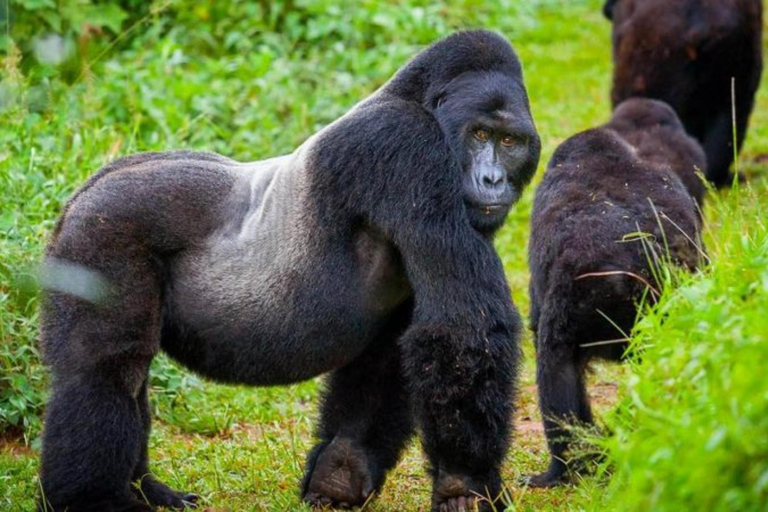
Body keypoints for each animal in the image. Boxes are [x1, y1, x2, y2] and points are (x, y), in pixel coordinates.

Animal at [37, 31, 540, 512]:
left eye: (509, 142)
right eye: (479, 135)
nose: (493, 180)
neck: (418, 100)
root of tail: (82, 194)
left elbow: (392, 354)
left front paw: (341, 470)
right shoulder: (404, 144)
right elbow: (462, 327)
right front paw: (465, 482)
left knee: (127, 377)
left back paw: (148, 490)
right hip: (104, 232)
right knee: (107, 370)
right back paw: (94, 499)